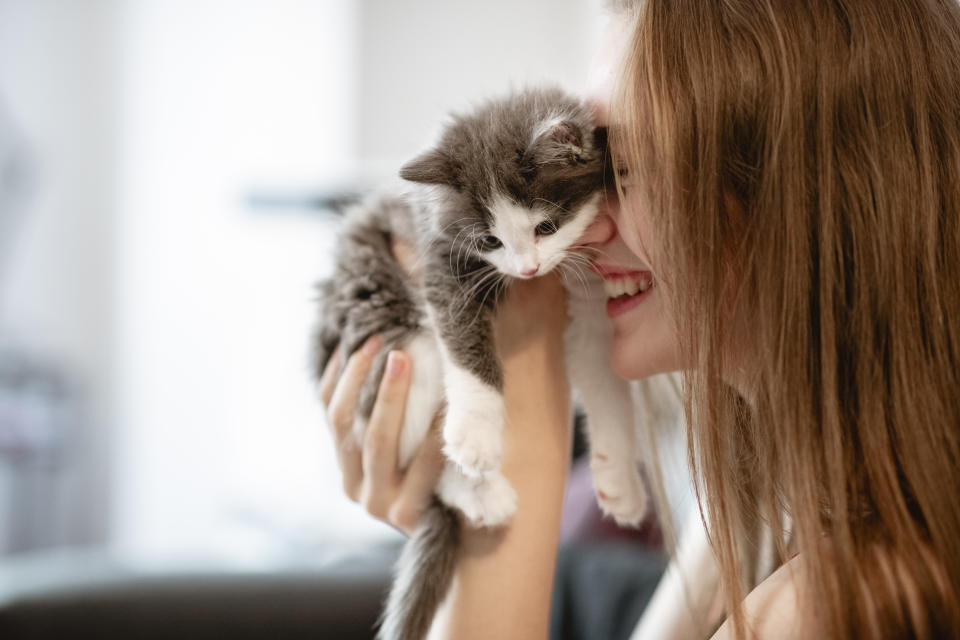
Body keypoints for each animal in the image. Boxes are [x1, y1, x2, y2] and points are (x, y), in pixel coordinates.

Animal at [312, 86, 648, 640]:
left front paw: (620, 478)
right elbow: (463, 336)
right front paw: (475, 432)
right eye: (490, 240)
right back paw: (480, 493)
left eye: (546, 227)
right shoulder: (437, 253)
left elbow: (605, 380)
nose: (529, 269)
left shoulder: (592, 305)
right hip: (385, 324)